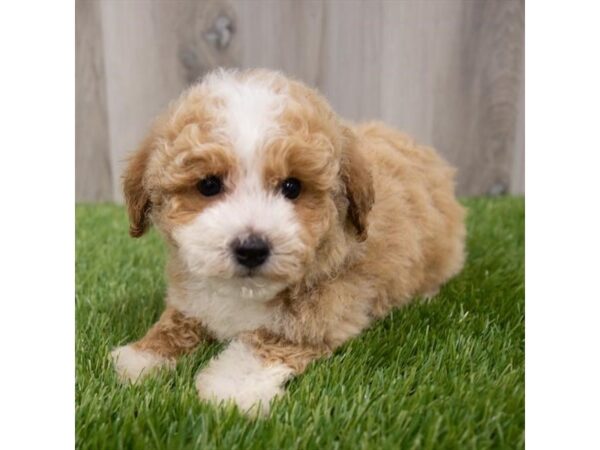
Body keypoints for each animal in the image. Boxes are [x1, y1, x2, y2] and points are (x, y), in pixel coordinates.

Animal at [109, 67, 464, 414]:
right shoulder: (192, 297)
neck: (246, 293)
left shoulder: (322, 315)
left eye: (292, 187)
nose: (251, 249)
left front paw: (231, 390)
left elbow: (262, 345)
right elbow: (175, 323)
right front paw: (141, 357)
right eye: (208, 185)